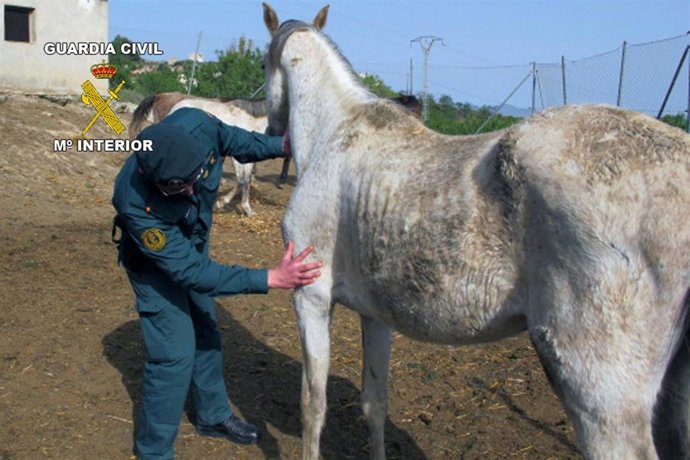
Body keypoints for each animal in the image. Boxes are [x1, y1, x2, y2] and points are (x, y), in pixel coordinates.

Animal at [261, 3, 690, 459]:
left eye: (263, 63)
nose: (272, 131)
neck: (335, 133)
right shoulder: (374, 313)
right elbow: (373, 403)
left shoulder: (311, 295)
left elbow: (313, 404)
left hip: (600, 397)